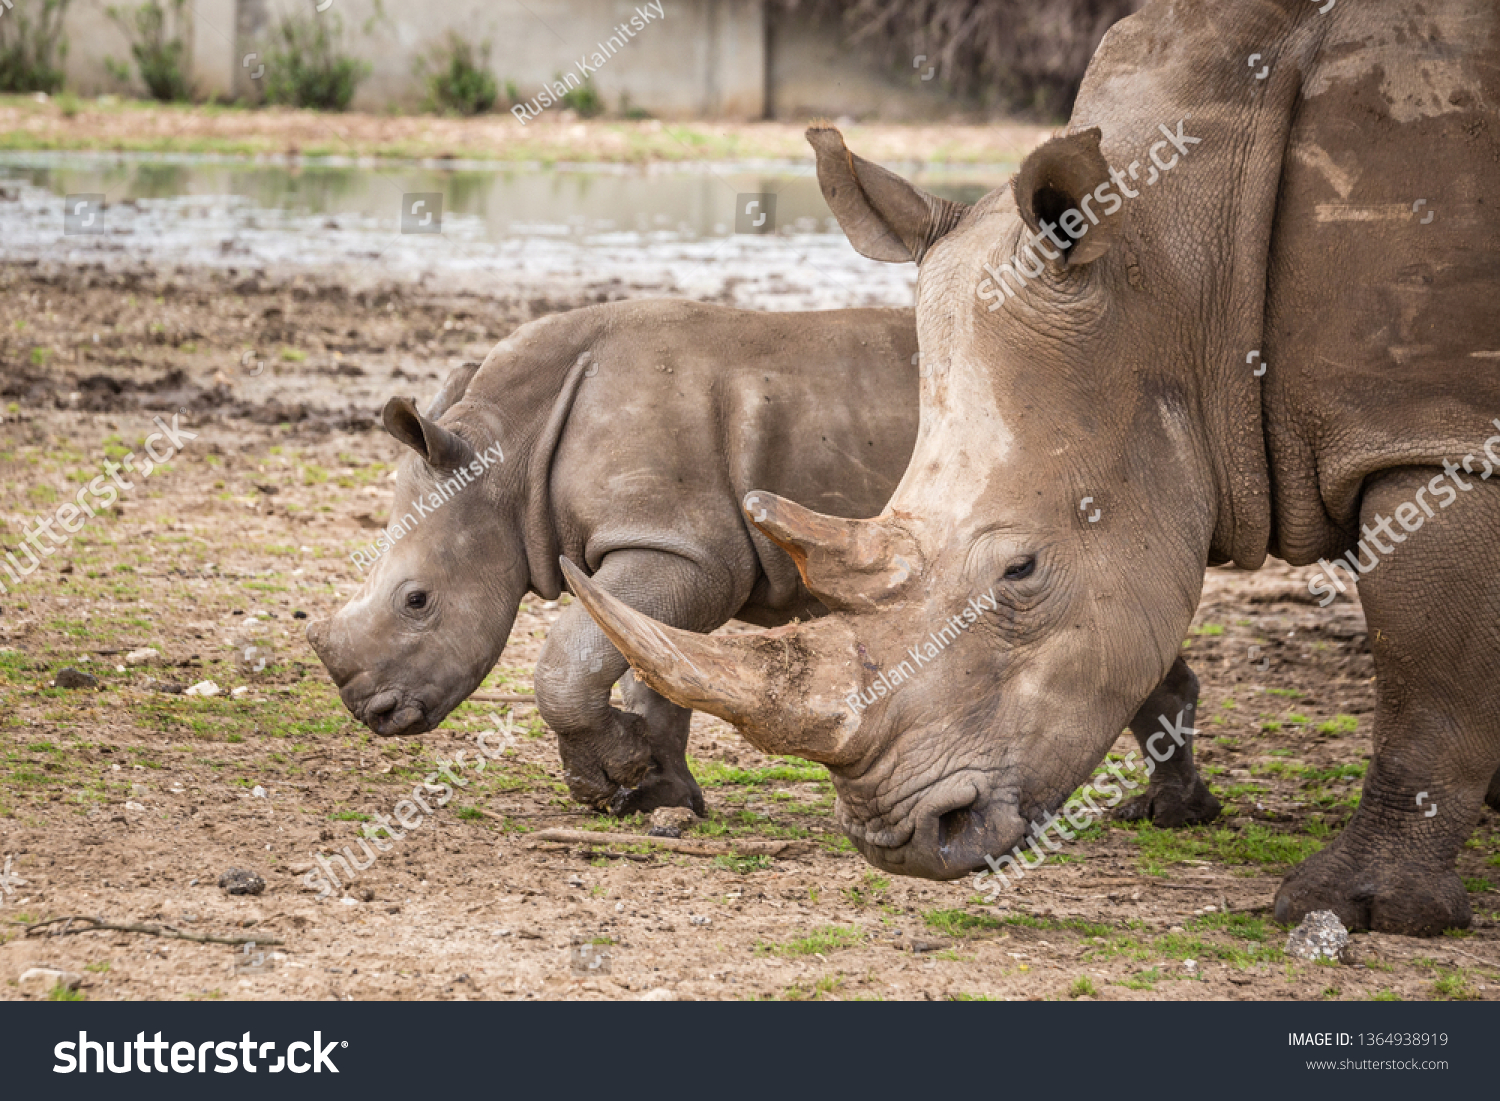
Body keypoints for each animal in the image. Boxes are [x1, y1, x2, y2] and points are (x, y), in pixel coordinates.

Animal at [310, 297, 1212, 822]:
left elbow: (573, 657)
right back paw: (1174, 812)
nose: (372, 712)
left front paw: (610, 780)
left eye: (418, 600)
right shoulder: (684, 552)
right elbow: (650, 665)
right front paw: (658, 796)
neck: (509, 453)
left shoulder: (678, 543)